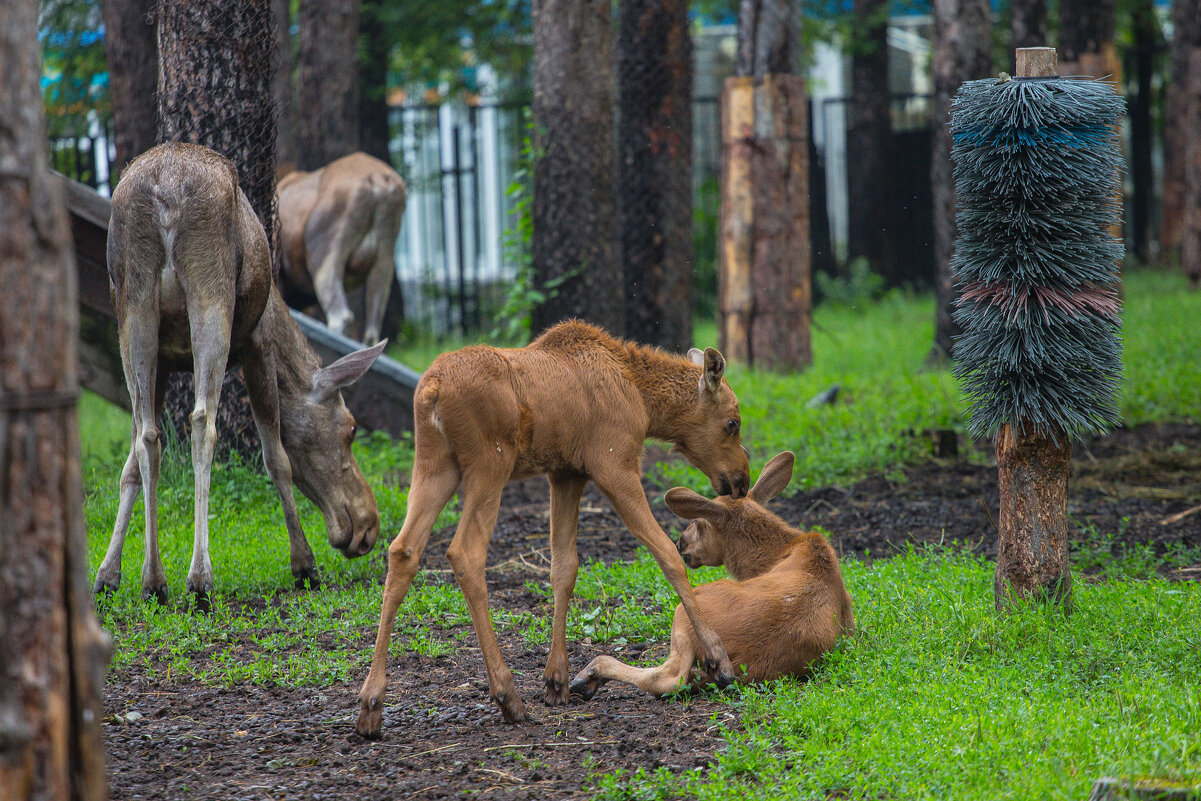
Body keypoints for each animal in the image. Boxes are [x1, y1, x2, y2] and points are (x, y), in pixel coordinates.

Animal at [101, 144, 389, 607]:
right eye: (351, 428)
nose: (369, 527)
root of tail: (165, 193)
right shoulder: (258, 343)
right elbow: (277, 458)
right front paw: (303, 563)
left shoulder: (163, 362)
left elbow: (130, 461)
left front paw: (108, 574)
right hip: (211, 293)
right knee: (203, 422)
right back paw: (200, 578)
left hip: (133, 309)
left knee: (147, 435)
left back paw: (154, 580)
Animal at [353, 321, 749, 734]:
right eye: (732, 423)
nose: (741, 480)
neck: (644, 399)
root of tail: (432, 389)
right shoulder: (614, 465)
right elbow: (668, 554)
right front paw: (717, 657)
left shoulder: (565, 474)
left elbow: (564, 567)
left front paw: (556, 678)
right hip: (489, 464)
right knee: (465, 553)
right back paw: (506, 693)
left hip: (434, 464)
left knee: (402, 549)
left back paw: (371, 702)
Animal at [566, 451, 850, 701]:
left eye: (698, 522)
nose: (680, 543)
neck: (776, 553)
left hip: (684, 613)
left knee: (668, 679)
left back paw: (588, 674)